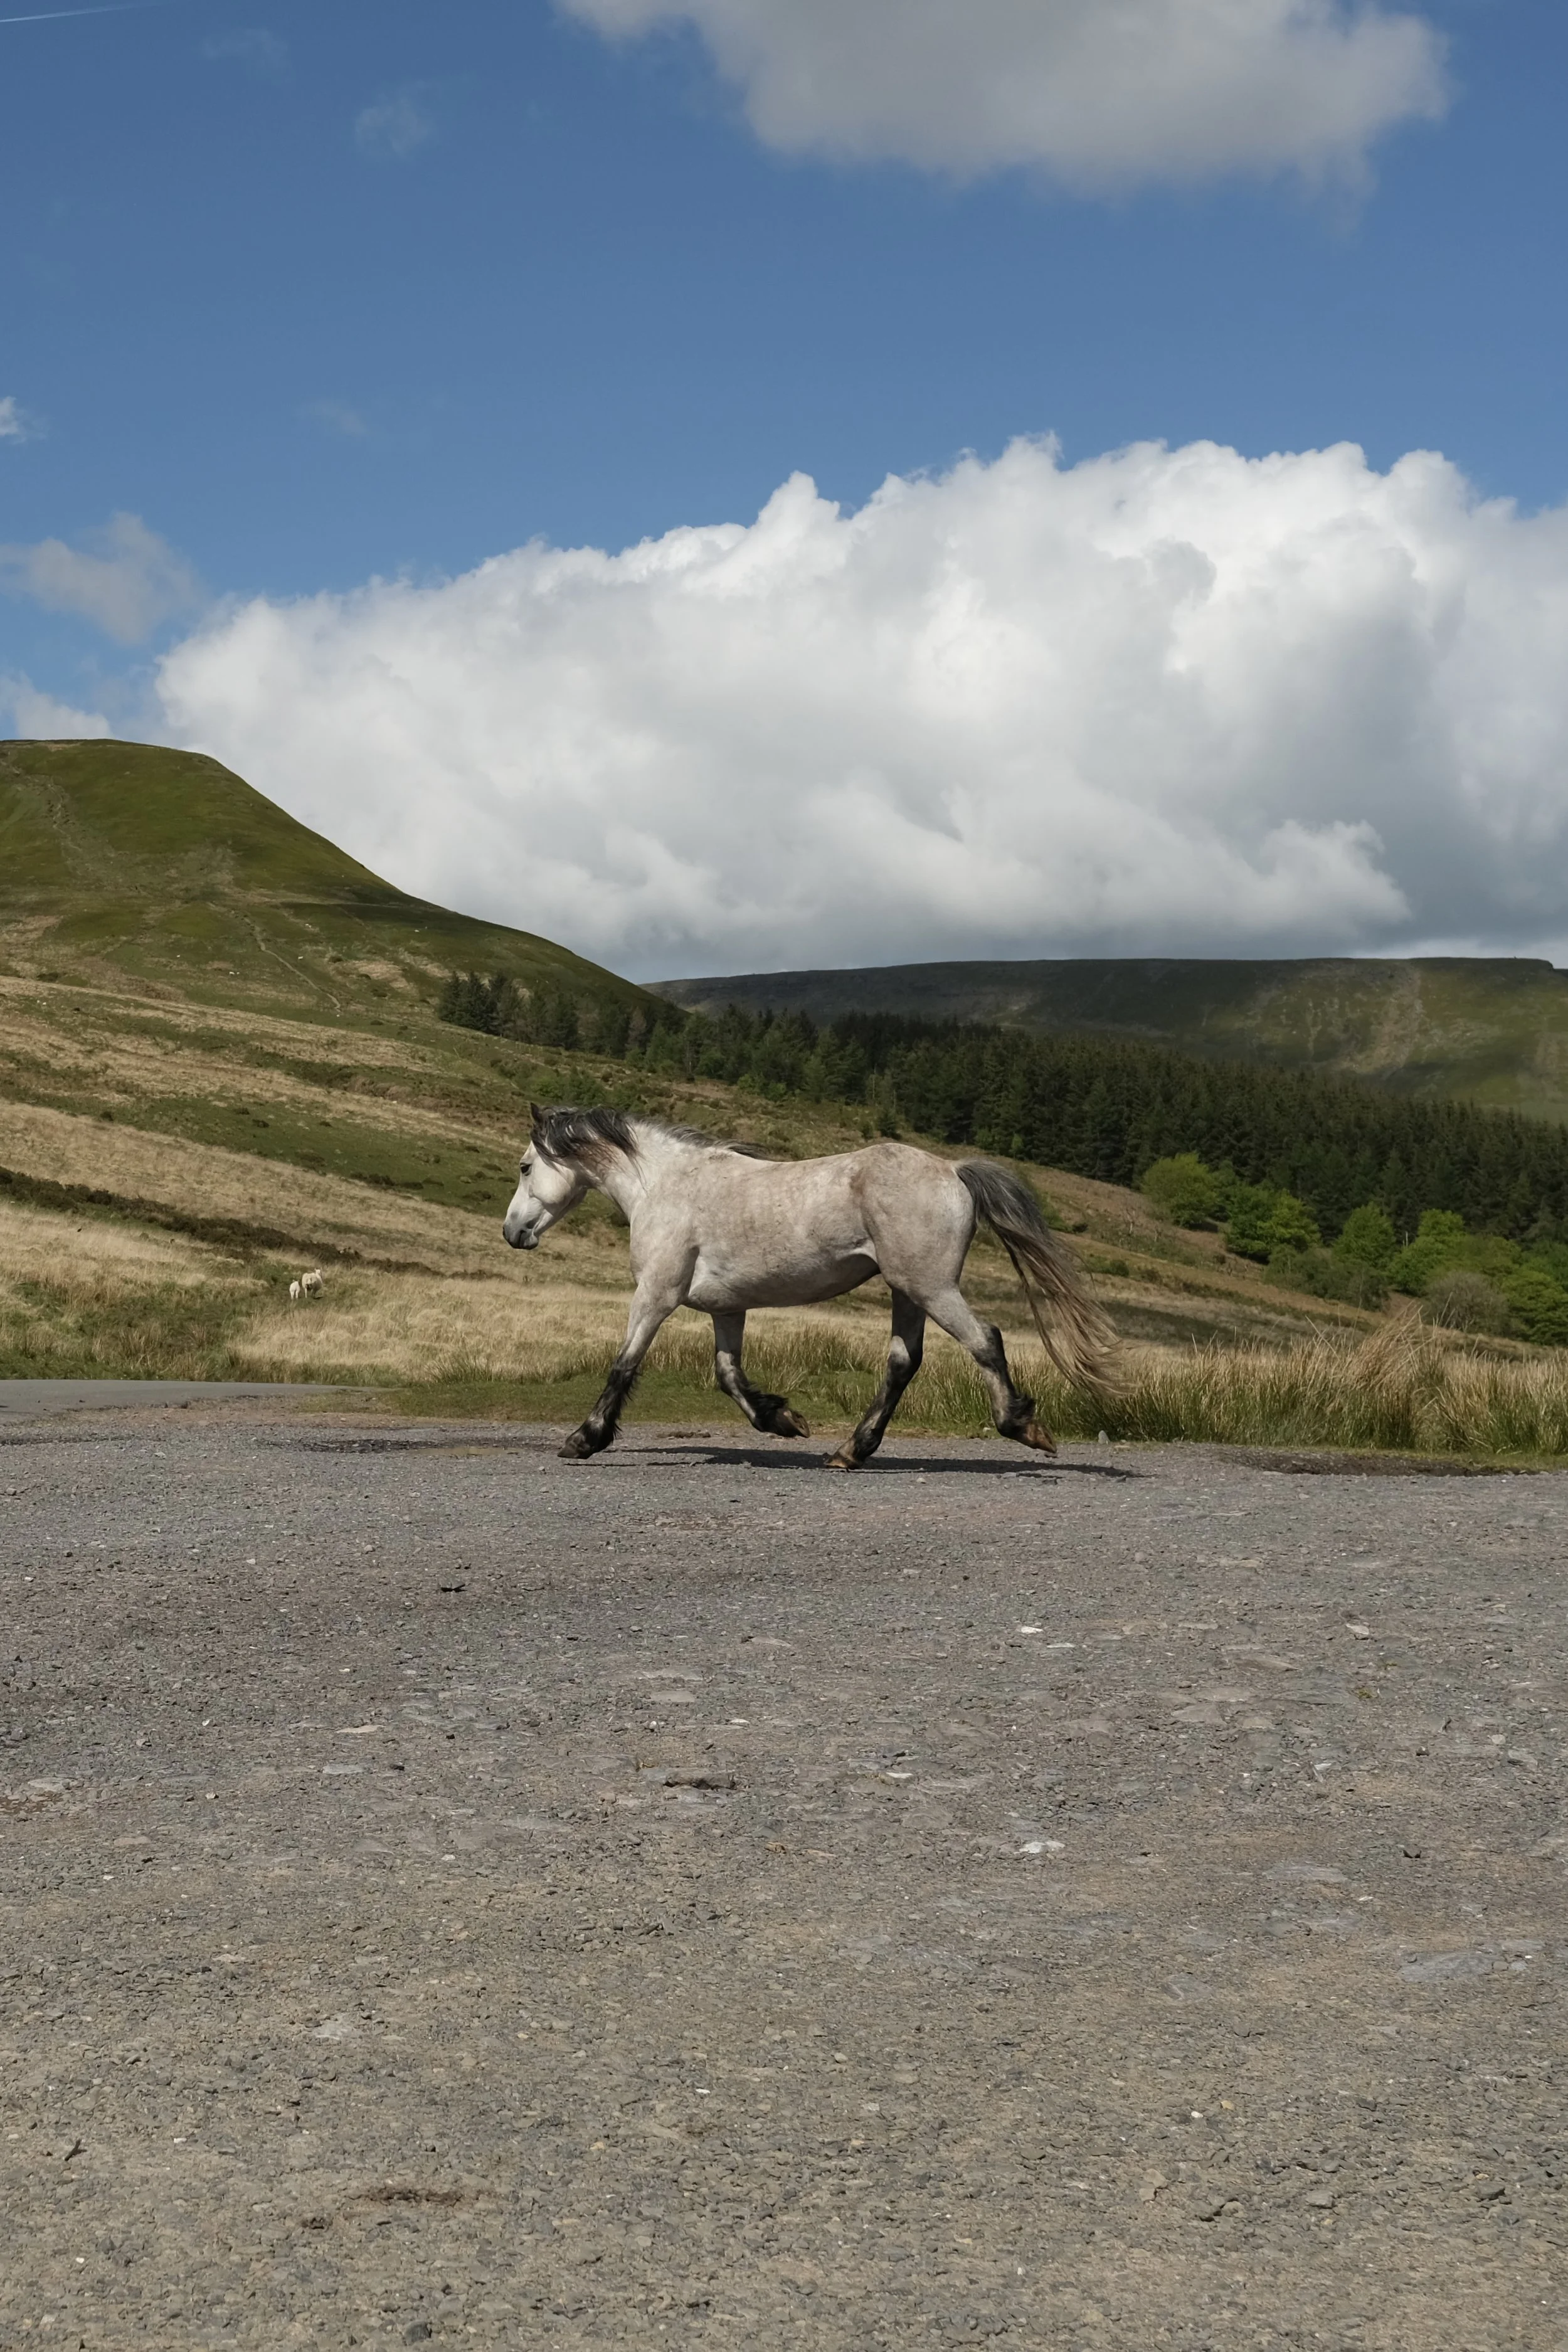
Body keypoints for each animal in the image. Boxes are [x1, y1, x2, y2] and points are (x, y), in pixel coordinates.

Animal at [502, 1105, 1116, 1468]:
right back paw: (849, 1450)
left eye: (526, 1166)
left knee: (985, 1340)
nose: (513, 1233)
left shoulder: (656, 1296)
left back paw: (1023, 1426)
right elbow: (729, 1376)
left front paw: (584, 1439)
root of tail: (952, 1171)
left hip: (932, 1287)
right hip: (908, 1292)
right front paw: (784, 1421)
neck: (665, 1185)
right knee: (903, 1363)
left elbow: (624, 1364)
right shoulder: (727, 1309)